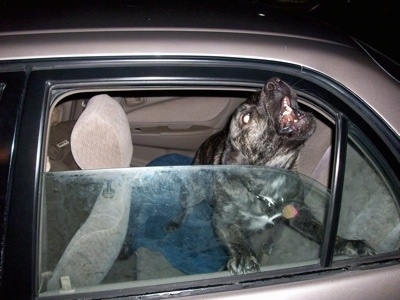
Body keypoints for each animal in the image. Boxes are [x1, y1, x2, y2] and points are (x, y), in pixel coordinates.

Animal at [165, 77, 376, 274]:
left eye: (255, 96)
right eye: (246, 118)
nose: (273, 82)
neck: (269, 183)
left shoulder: (299, 213)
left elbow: (321, 230)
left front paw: (346, 243)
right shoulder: (222, 221)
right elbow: (235, 239)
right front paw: (243, 257)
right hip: (193, 192)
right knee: (186, 208)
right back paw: (175, 221)